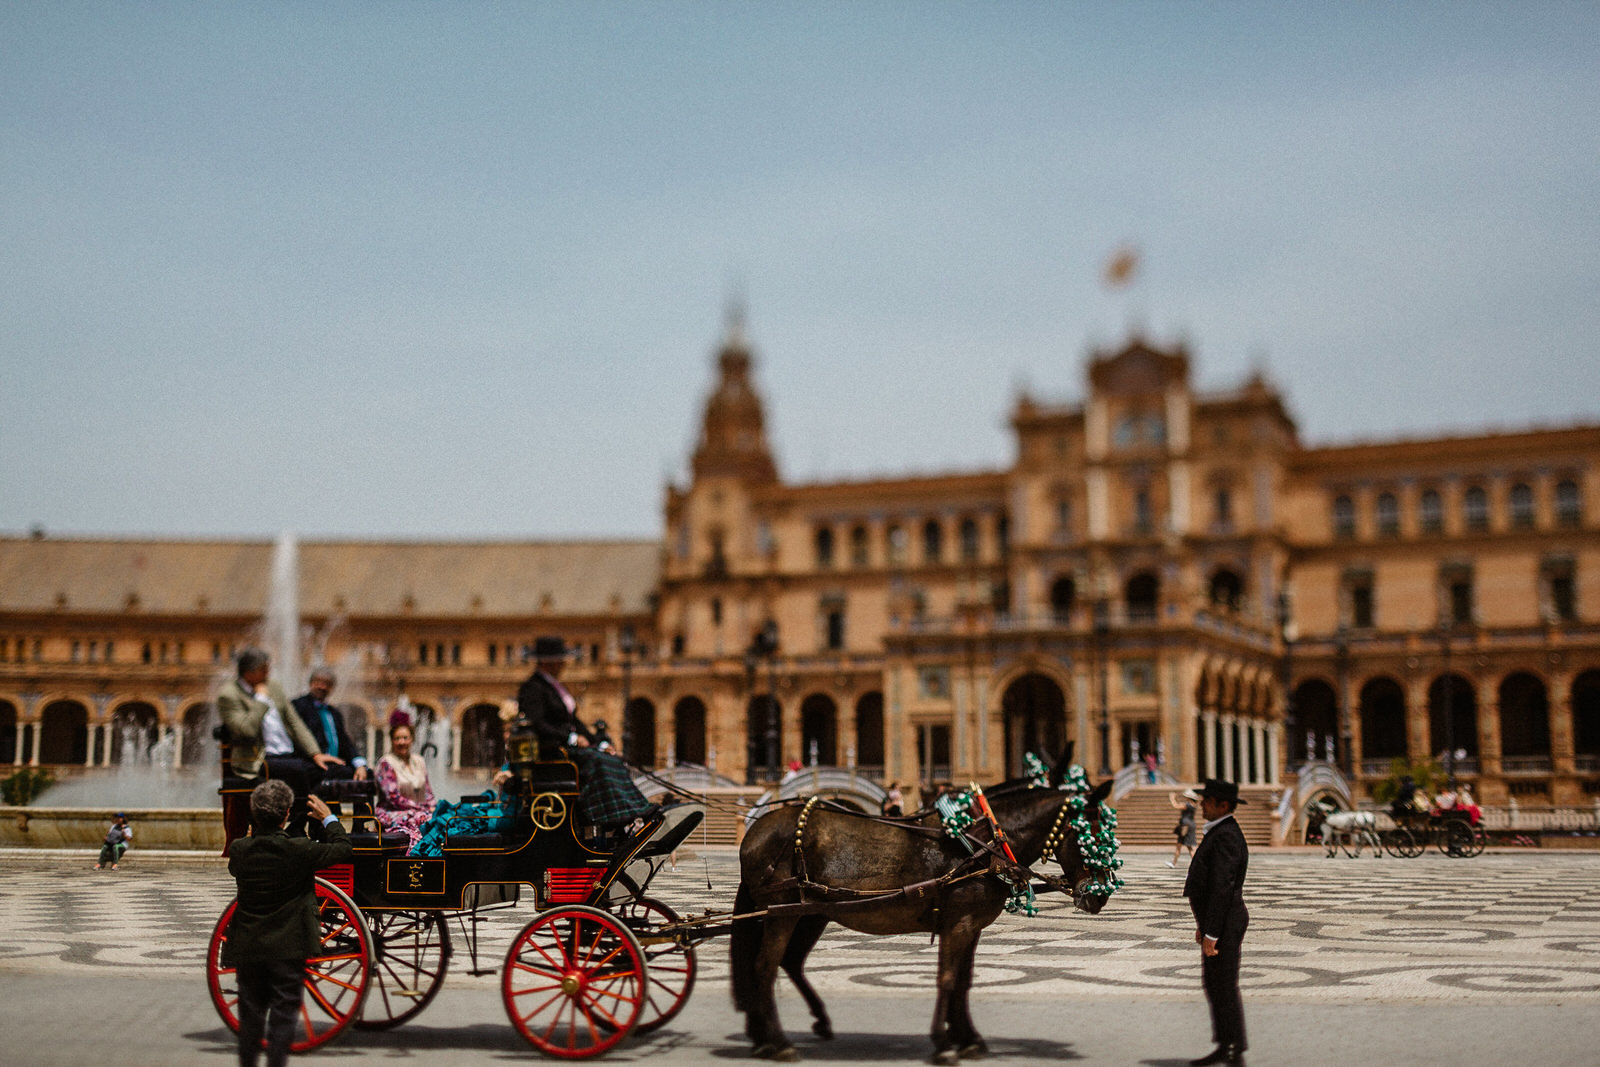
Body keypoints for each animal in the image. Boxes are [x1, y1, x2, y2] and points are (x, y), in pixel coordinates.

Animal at [732, 751, 1120, 1067]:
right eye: (1091, 835)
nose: (1099, 895)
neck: (981, 842)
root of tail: (754, 832)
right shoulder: (958, 923)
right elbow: (946, 979)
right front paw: (944, 1044)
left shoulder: (971, 926)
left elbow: (964, 981)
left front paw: (969, 1039)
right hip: (781, 911)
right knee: (765, 966)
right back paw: (779, 1042)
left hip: (809, 914)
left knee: (789, 962)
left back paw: (786, 1032)